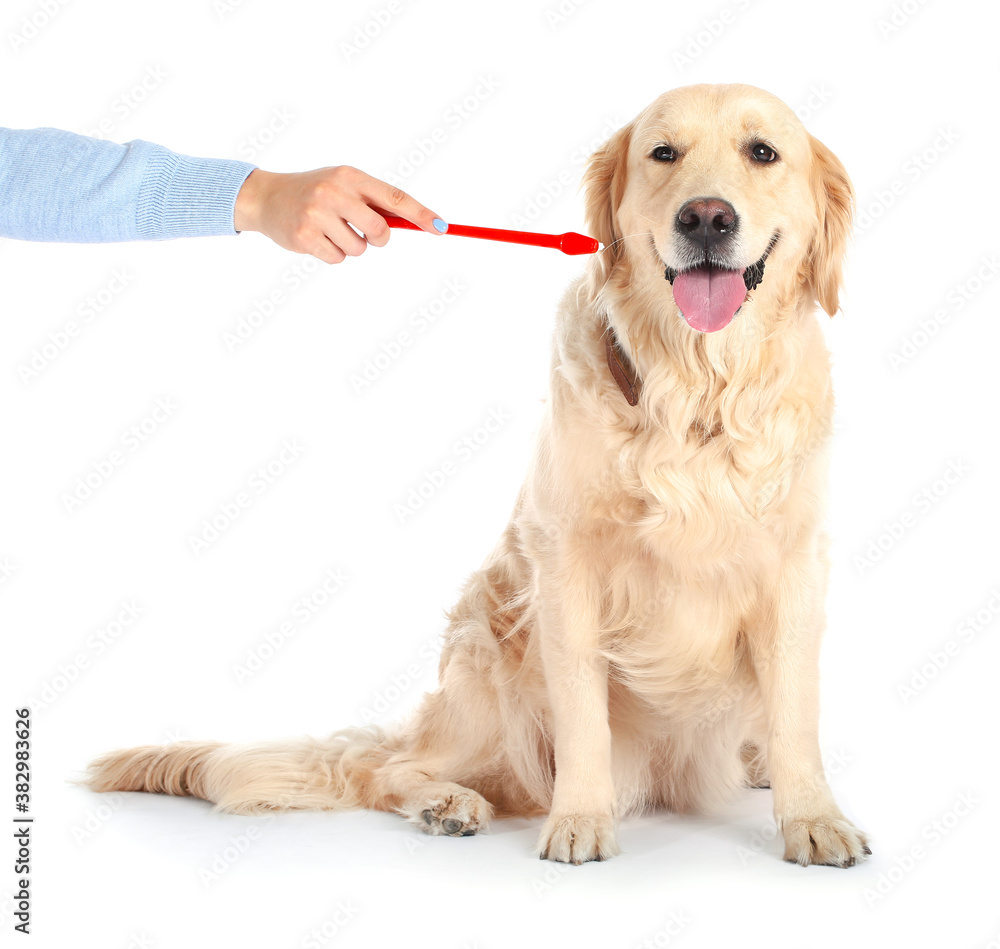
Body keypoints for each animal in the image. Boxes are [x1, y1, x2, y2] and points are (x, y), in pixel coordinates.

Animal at [86, 83, 868, 868]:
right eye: (663, 153)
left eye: (762, 152)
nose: (706, 216)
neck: (698, 394)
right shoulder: (566, 566)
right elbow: (583, 715)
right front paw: (579, 819)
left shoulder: (796, 564)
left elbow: (796, 710)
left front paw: (813, 815)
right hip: (487, 655)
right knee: (393, 770)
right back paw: (448, 802)